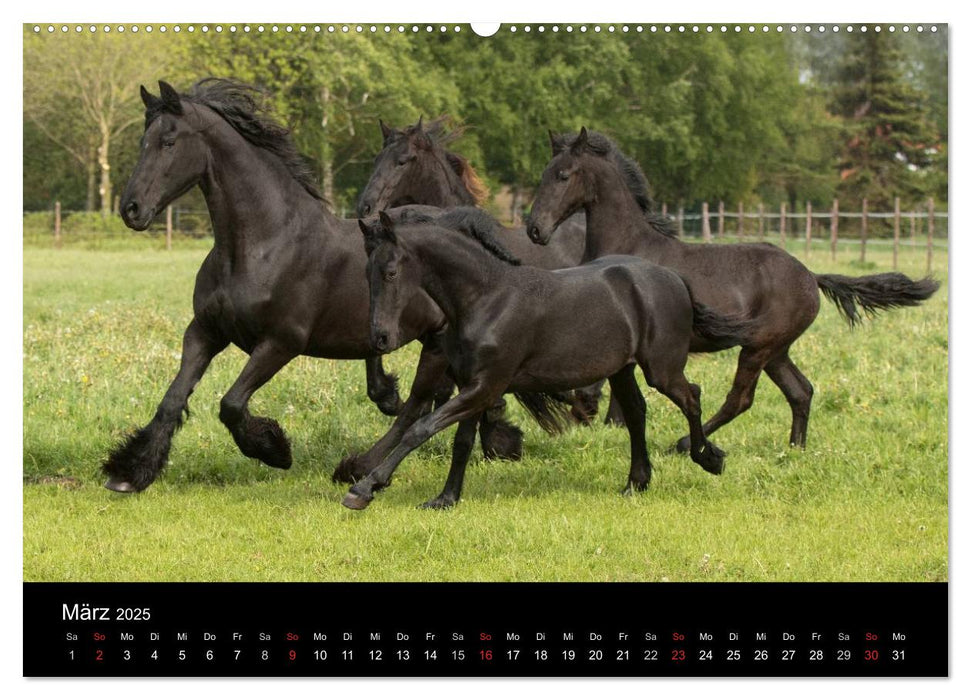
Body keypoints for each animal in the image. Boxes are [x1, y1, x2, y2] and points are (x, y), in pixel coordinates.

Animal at [99, 78, 532, 492]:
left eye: (169, 142)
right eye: (143, 142)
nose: (131, 209)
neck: (261, 245)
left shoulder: (281, 342)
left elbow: (232, 404)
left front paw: (274, 448)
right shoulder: (205, 331)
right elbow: (173, 399)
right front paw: (130, 471)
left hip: (439, 341)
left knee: (432, 400)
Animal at [342, 208, 760, 508]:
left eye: (391, 272)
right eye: (366, 273)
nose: (380, 337)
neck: (486, 299)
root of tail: (673, 278)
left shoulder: (485, 386)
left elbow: (420, 428)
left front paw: (364, 489)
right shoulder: (473, 387)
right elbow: (461, 442)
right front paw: (445, 499)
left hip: (662, 368)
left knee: (692, 396)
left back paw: (708, 459)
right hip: (622, 369)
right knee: (637, 412)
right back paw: (635, 483)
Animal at [524, 129, 940, 452]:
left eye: (564, 175)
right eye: (544, 174)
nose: (535, 229)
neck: (629, 245)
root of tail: (810, 275)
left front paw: (594, 415)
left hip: (758, 348)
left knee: (740, 399)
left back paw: (684, 444)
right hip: (776, 351)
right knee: (801, 391)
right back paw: (795, 450)